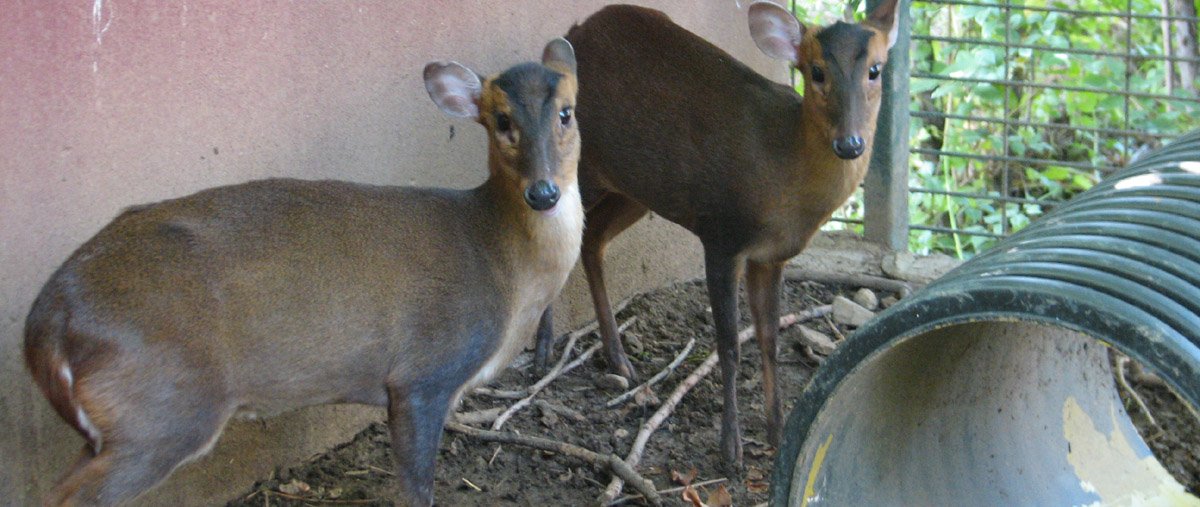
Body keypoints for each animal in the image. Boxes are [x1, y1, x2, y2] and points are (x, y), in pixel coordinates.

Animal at [21, 37, 578, 504]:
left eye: (567, 112)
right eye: (501, 119)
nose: (543, 192)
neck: (503, 263)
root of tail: (45, 324)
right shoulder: (424, 374)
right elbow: (417, 488)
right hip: (160, 410)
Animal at [537, 1, 902, 466]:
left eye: (875, 69)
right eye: (817, 71)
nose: (850, 143)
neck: (785, 171)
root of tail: (574, 34)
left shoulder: (771, 257)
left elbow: (770, 338)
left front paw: (777, 432)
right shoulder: (722, 234)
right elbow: (729, 344)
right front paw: (731, 450)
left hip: (636, 188)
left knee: (591, 240)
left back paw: (618, 358)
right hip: (582, 166)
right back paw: (545, 347)